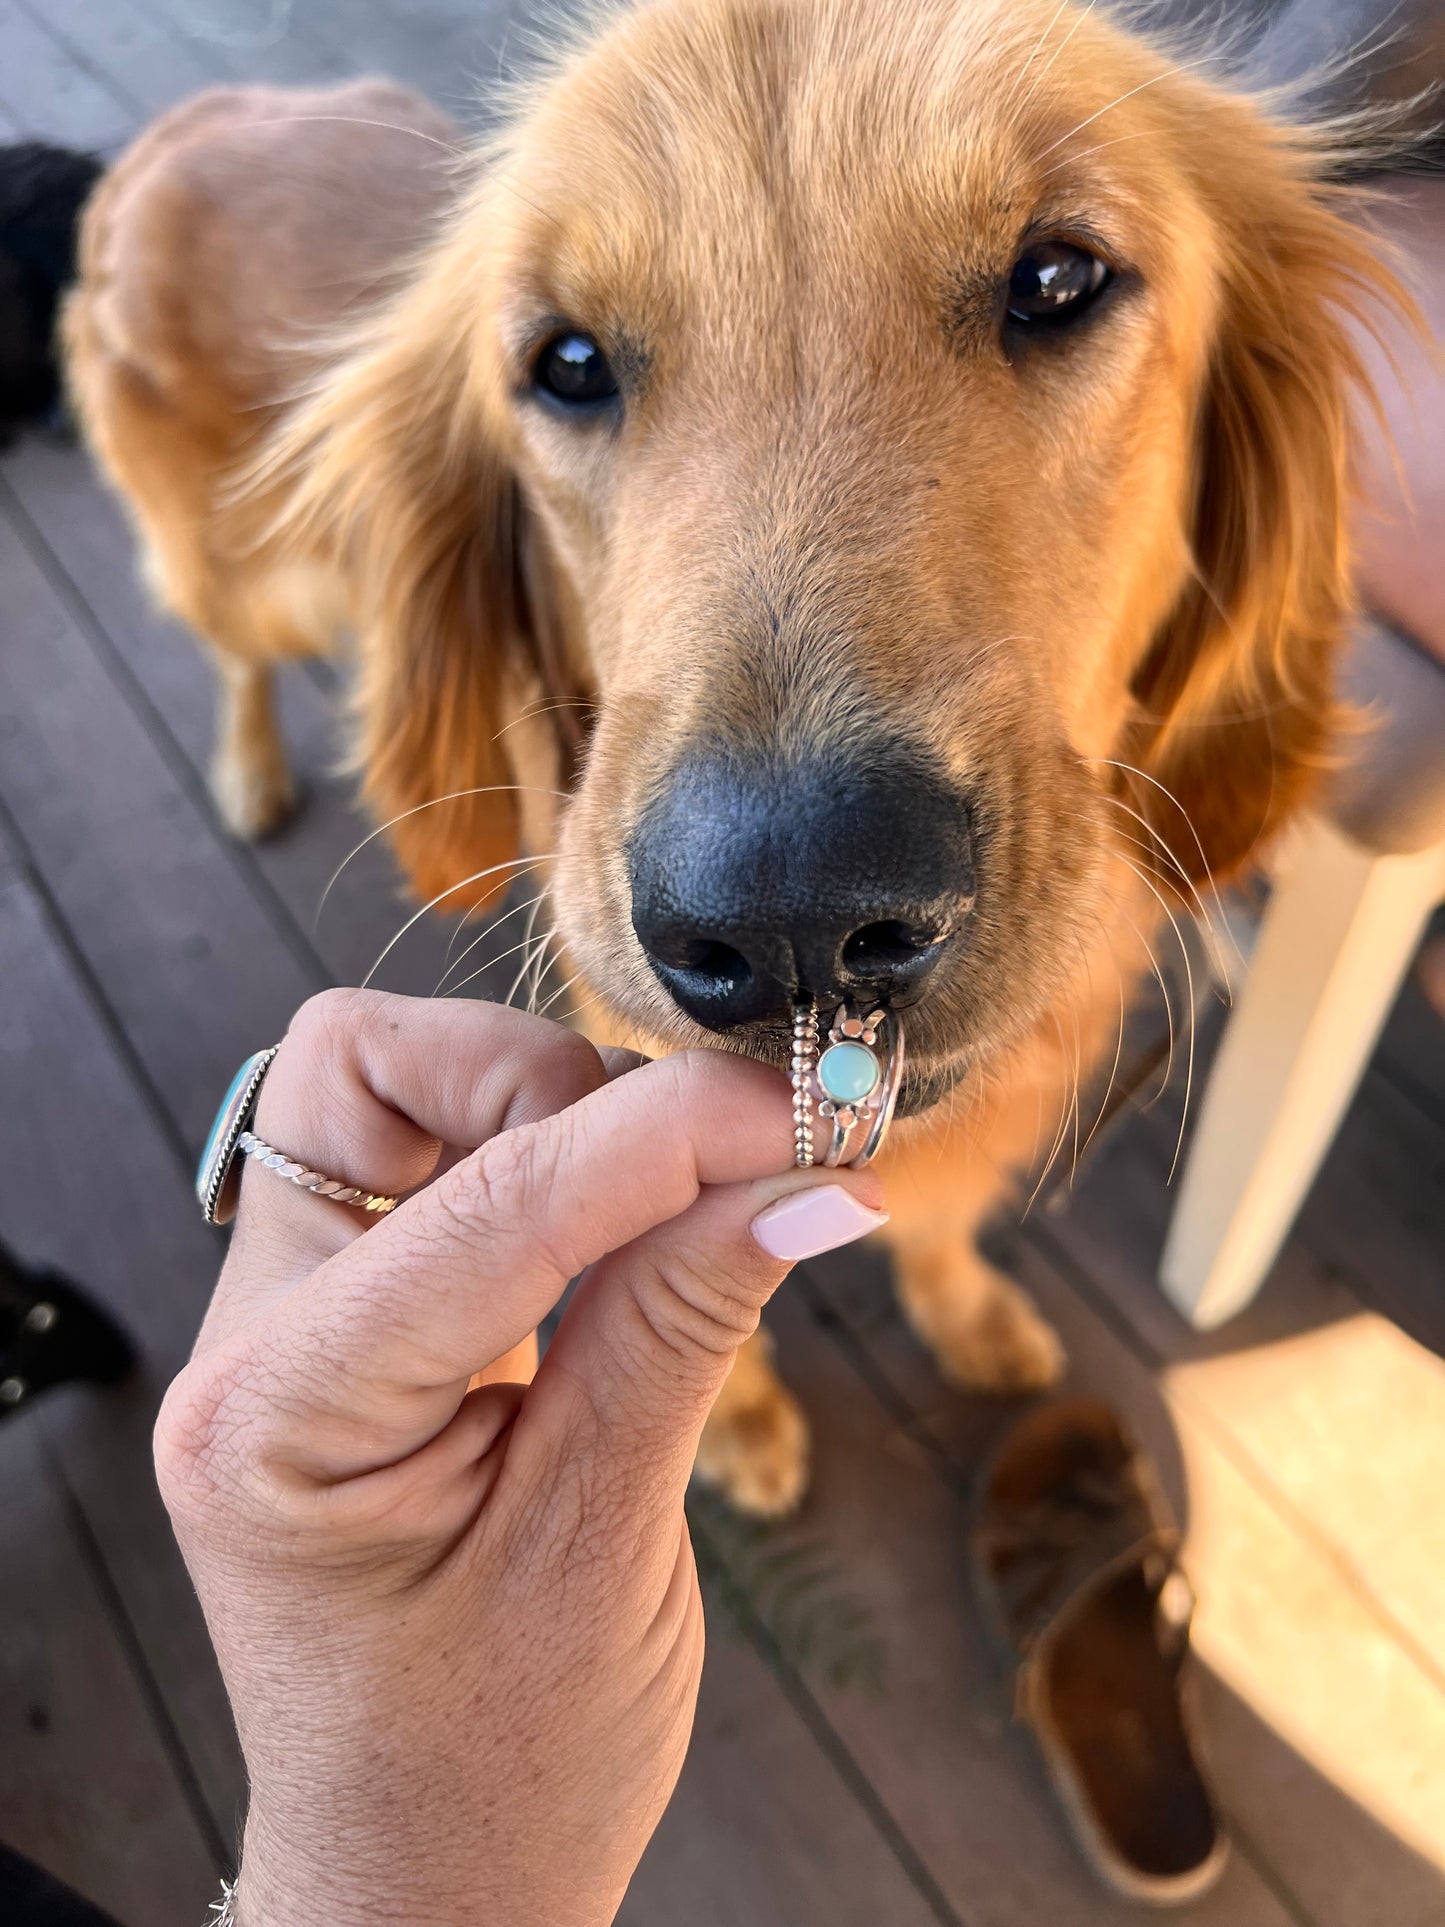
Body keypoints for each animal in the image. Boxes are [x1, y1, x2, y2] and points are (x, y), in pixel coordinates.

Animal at [65, 3, 1402, 1518]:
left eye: (1058, 277)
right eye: (566, 362)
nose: (791, 911)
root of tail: (194, 123)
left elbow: (933, 1226)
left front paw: (964, 1312)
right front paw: (738, 1426)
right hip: (256, 576)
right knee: (231, 646)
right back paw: (248, 767)